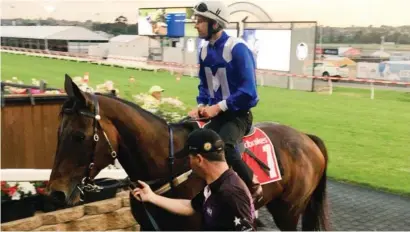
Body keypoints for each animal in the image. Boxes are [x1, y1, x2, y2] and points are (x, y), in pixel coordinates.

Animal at [47, 75, 330, 231]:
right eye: (57, 132)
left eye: (79, 136)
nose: (55, 192)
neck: (169, 164)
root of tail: (307, 138)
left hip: (289, 210)